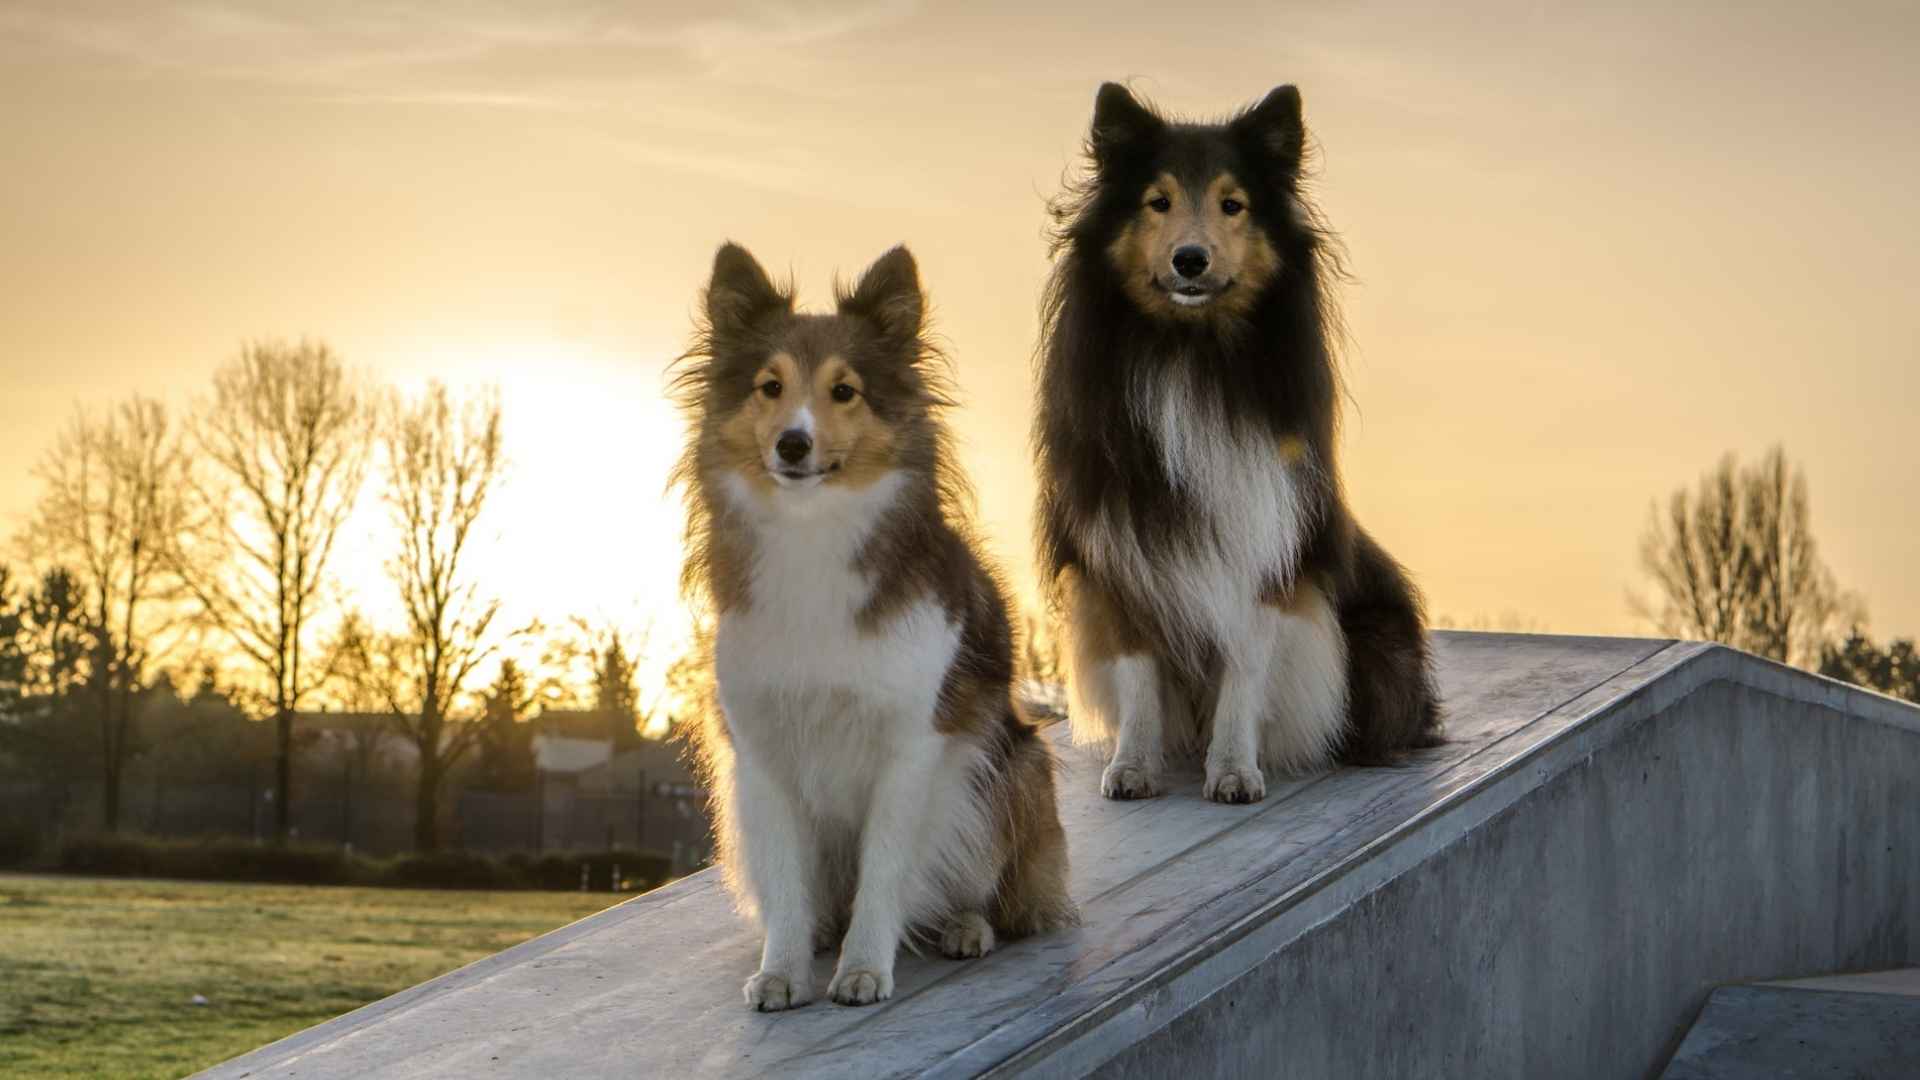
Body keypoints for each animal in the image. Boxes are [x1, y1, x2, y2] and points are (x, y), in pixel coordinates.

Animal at [675, 244, 1075, 1006]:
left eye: (845, 391)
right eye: (770, 387)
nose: (793, 445)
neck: (813, 534)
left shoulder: (911, 747)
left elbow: (885, 871)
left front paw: (864, 966)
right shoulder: (762, 756)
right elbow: (788, 883)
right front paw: (784, 969)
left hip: (1011, 771)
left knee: (994, 893)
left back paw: (966, 926)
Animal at [1036, 84, 1443, 803]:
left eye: (1234, 204)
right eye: (1158, 201)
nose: (1190, 260)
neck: (1189, 353)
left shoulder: (1263, 544)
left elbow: (1243, 670)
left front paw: (1233, 770)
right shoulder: (1121, 550)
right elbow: (1138, 675)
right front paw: (1132, 767)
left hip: (1378, 647)